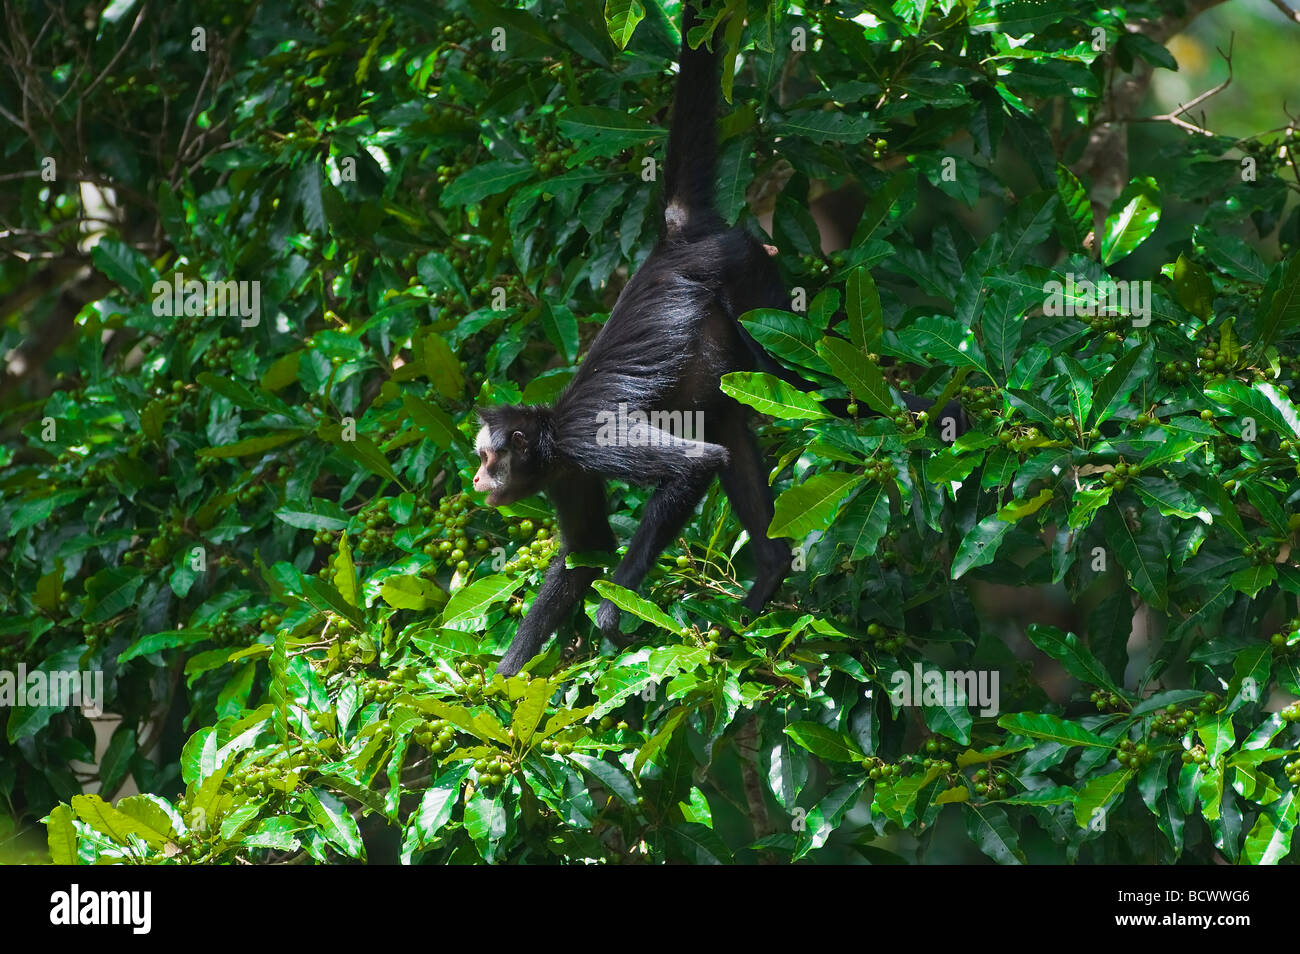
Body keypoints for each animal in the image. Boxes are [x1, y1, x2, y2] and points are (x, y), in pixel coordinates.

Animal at [478, 3, 956, 675]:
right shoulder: (566, 471)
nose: (477, 482)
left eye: (487, 458)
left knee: (805, 386)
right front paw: (499, 686)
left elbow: (695, 466)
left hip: (746, 278)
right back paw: (766, 585)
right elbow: (587, 549)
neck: (549, 437)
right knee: (730, 422)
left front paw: (614, 609)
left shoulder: (585, 442)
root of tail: (679, 240)